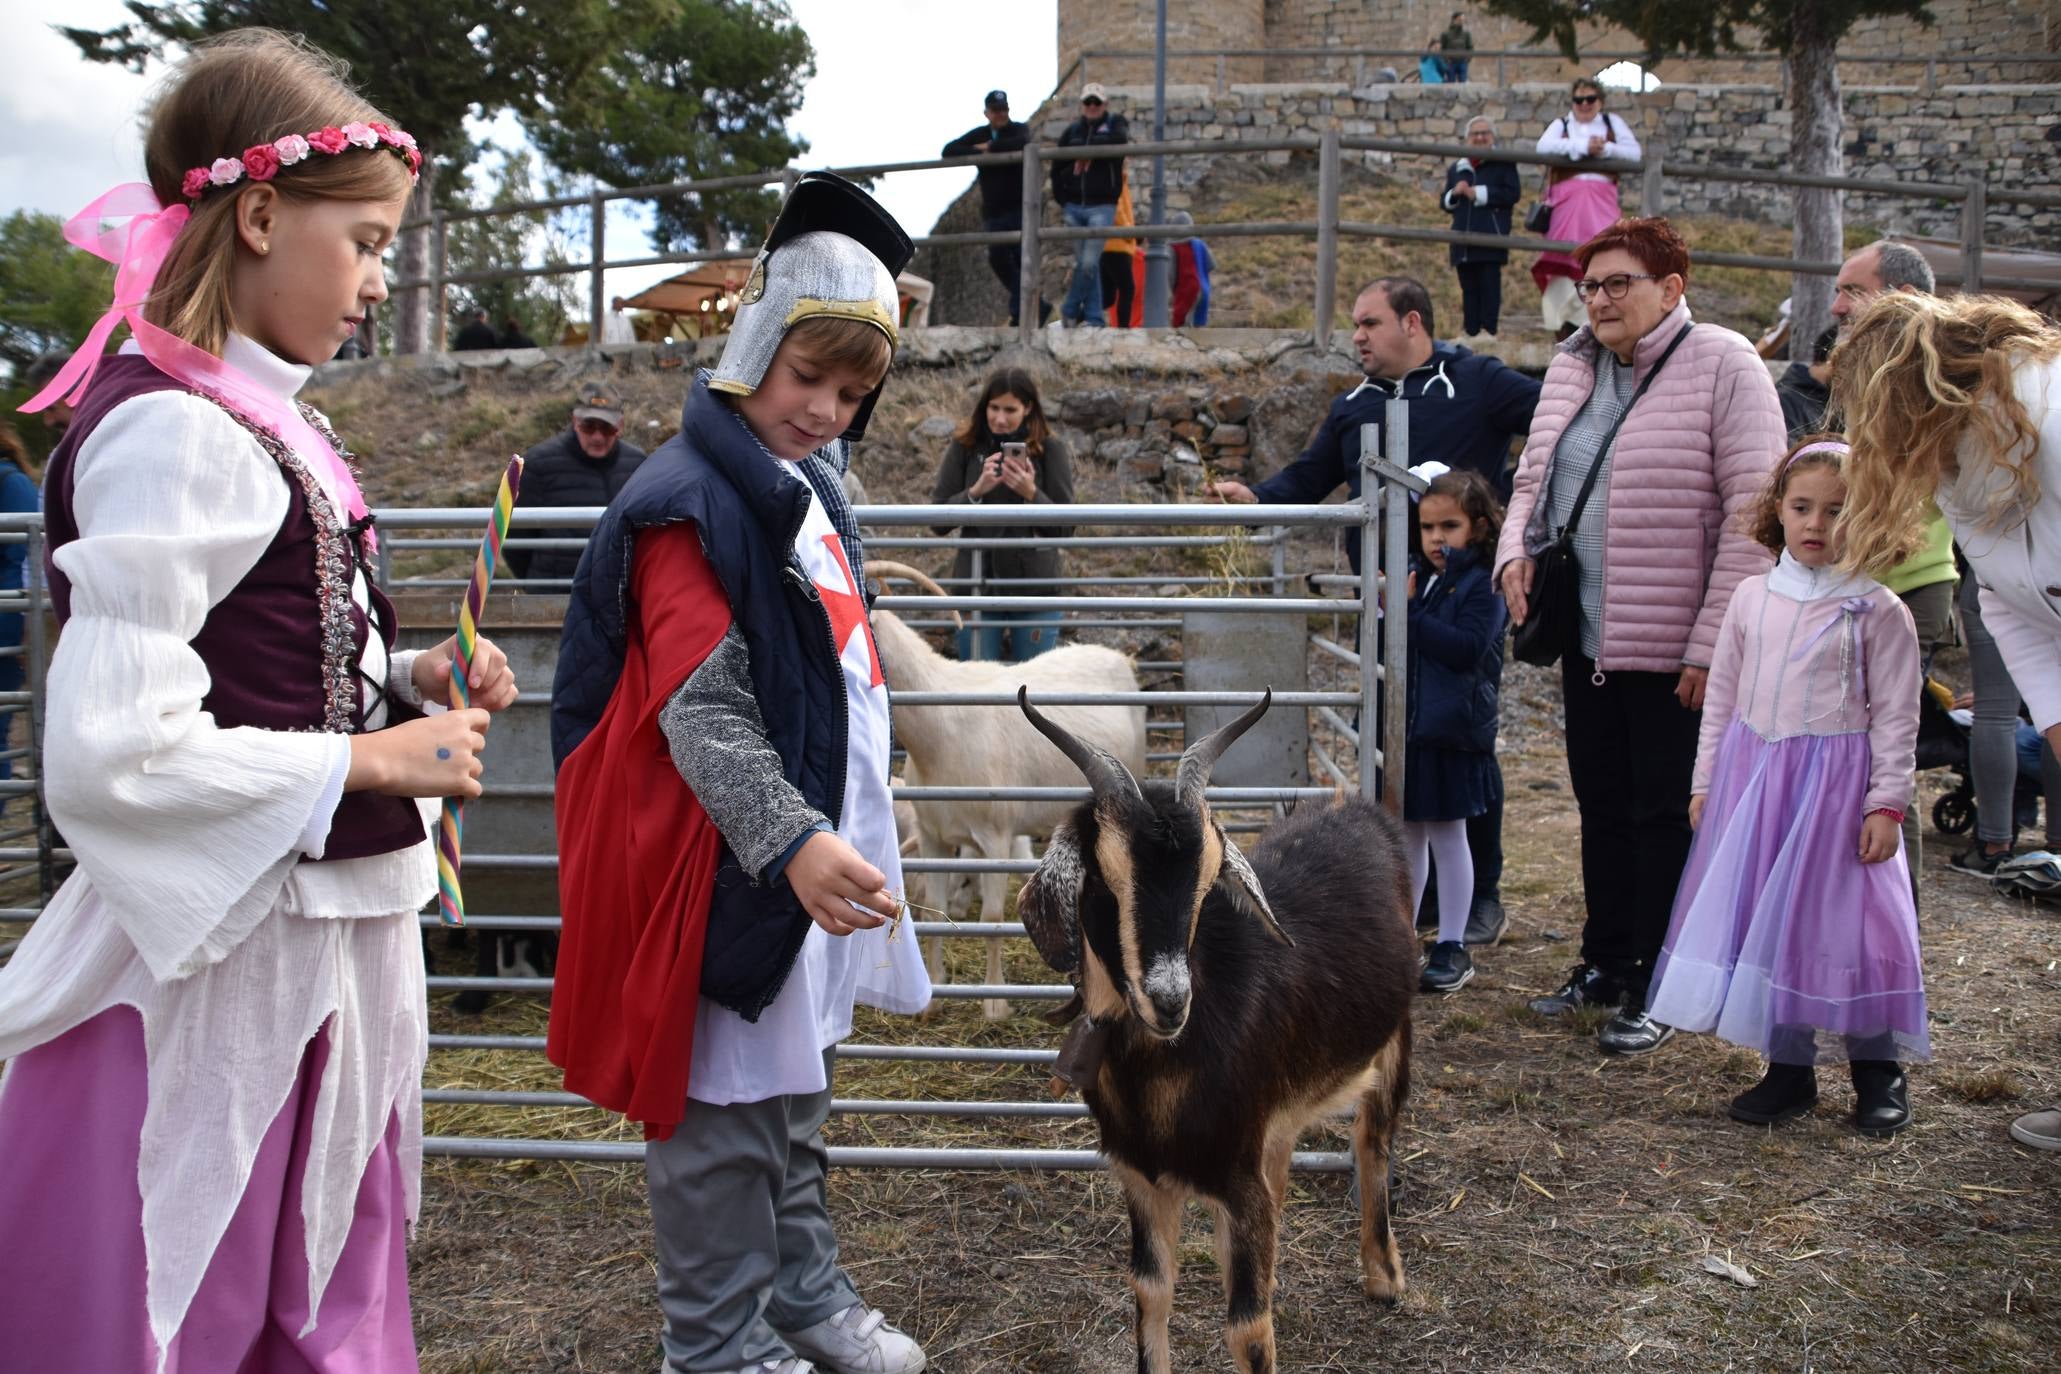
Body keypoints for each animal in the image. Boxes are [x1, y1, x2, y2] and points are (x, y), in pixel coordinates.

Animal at [869, 560, 1154, 1021]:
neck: (938, 729)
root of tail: (1118, 658)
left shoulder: (995, 837)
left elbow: (991, 920)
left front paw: (995, 1004)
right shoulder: (933, 837)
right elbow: (936, 913)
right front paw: (932, 997)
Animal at [1014, 688, 1417, 1374]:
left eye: (1207, 887)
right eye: (1104, 885)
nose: (1170, 1002)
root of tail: (1353, 803)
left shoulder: (1235, 1182)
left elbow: (1247, 1328)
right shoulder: (1142, 1178)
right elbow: (1150, 1292)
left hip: (1397, 1034)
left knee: (1373, 1137)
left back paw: (1384, 1277)